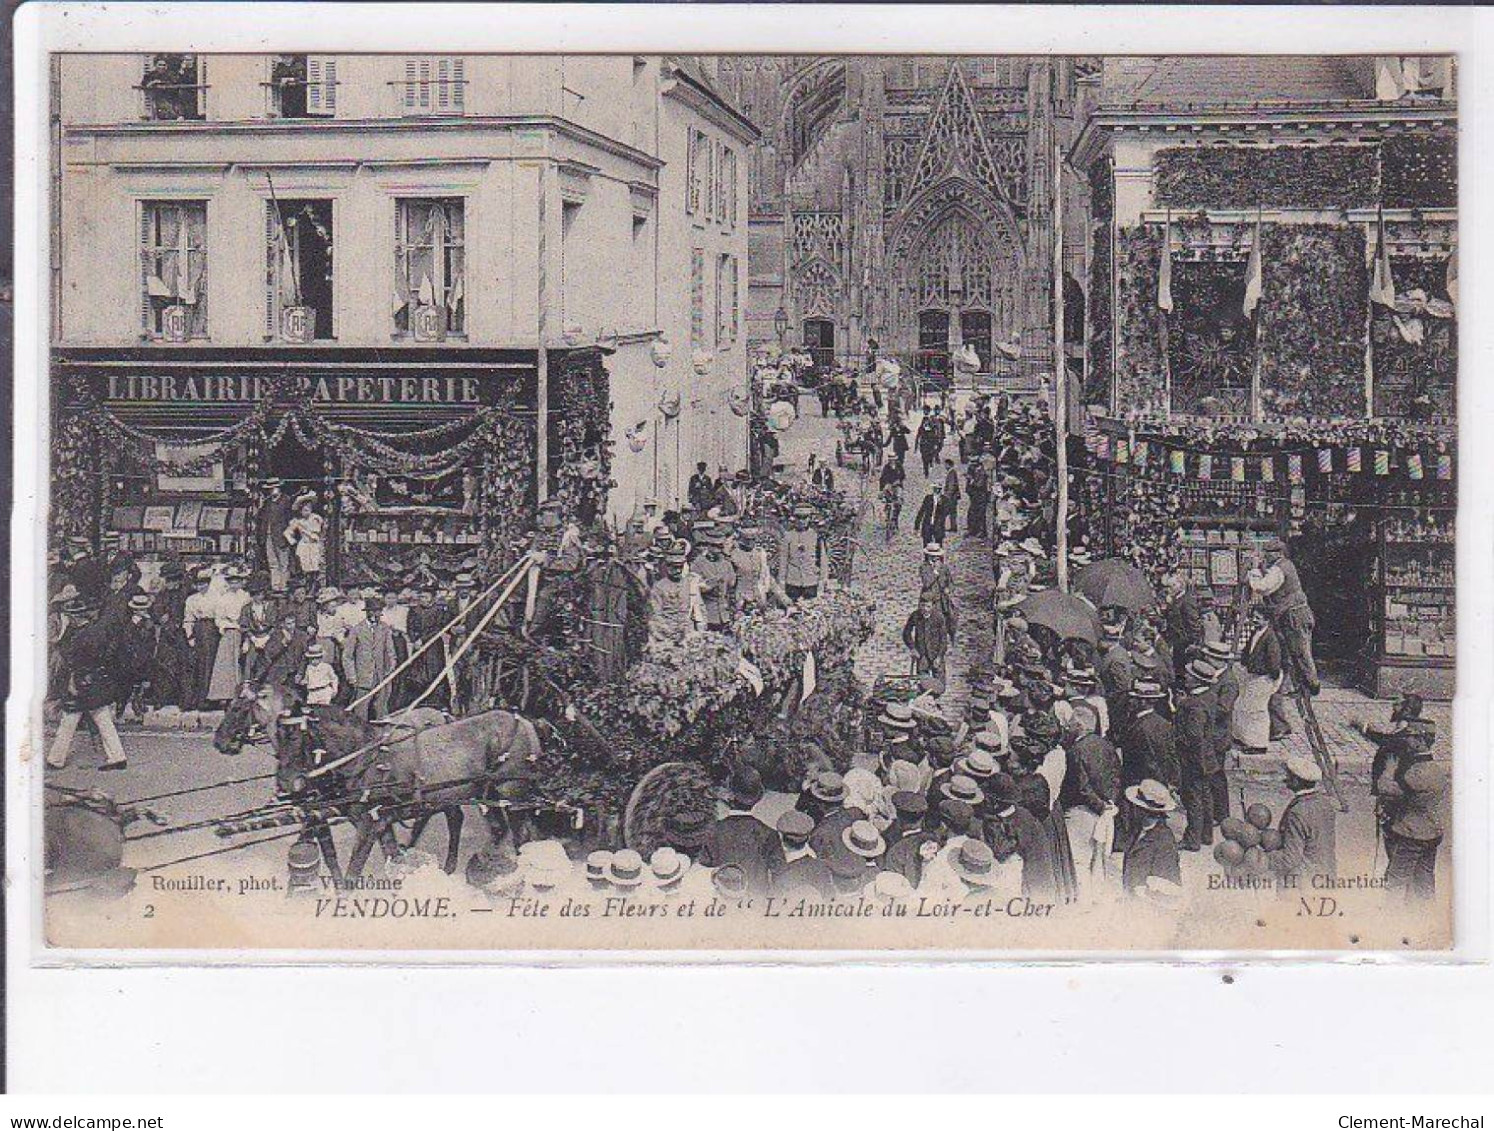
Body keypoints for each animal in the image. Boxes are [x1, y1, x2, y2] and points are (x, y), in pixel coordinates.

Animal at [213, 684, 546, 884]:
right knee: (480, 825)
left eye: (238, 708)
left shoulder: (366, 823)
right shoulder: (352, 817)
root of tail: (527, 723)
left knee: (520, 835)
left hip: (512, 792)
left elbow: (350, 869)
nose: (220, 742)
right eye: (279, 736)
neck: (361, 756)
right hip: (472, 794)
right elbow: (360, 856)